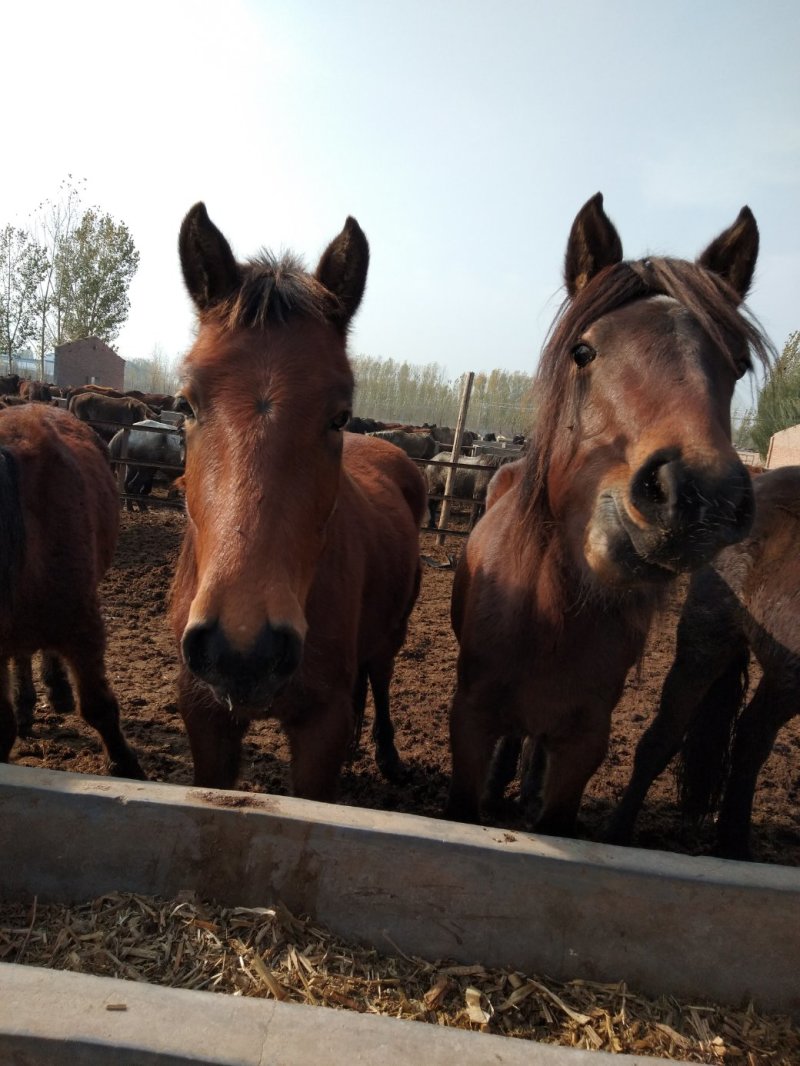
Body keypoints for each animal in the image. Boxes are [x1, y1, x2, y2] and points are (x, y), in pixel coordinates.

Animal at [168, 203, 427, 800]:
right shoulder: (205, 720)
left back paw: (386, 754)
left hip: (392, 635)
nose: (242, 650)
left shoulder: (318, 729)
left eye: (339, 414)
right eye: (185, 404)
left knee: (379, 679)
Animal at [444, 192, 772, 835]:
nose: (699, 493)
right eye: (584, 351)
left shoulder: (584, 742)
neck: (549, 611)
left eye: (738, 366)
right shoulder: (470, 721)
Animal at [607, 465, 800, 860]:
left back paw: (733, 846)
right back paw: (617, 832)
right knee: (662, 740)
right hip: (705, 645)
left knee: (751, 737)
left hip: (783, 677)